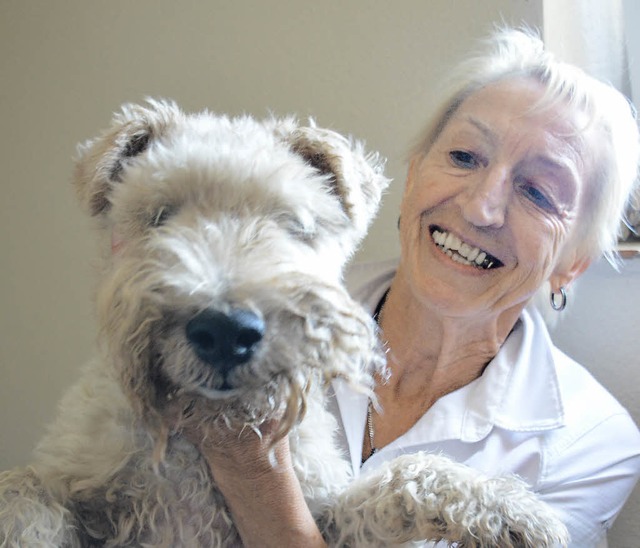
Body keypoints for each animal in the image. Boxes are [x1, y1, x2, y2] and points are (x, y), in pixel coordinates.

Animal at [0, 99, 568, 548]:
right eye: (160, 215)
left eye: (293, 223)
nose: (225, 332)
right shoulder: (76, 479)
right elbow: (24, 489)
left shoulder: (321, 511)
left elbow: (406, 476)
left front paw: (516, 511)